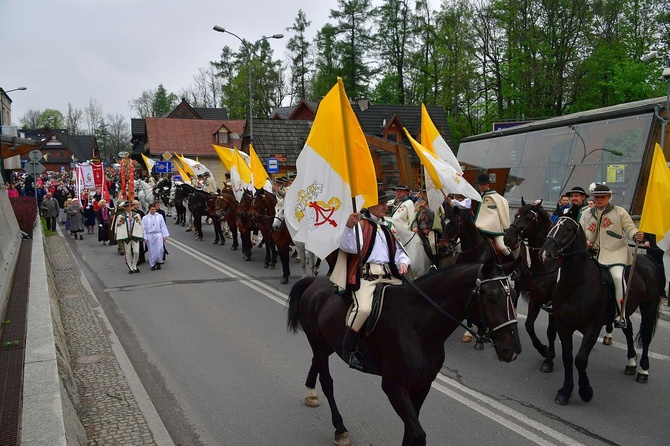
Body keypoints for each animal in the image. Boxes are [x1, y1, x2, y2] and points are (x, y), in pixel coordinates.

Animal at [286, 262, 524, 446]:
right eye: (491, 297)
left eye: (513, 295)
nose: (512, 350)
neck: (418, 325)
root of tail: (316, 282)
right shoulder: (394, 387)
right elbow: (417, 434)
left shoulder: (422, 385)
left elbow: (411, 432)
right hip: (317, 341)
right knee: (327, 381)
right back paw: (339, 428)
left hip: (327, 344)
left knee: (316, 362)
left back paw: (311, 393)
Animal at [504, 199, 560, 372]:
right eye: (516, 216)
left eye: (529, 219)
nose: (507, 239)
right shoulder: (535, 298)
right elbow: (529, 325)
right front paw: (544, 350)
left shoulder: (552, 306)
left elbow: (551, 332)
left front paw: (549, 359)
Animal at [540, 208, 664, 404]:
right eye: (552, 226)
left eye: (567, 230)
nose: (545, 254)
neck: (576, 284)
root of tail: (647, 260)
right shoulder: (563, 324)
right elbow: (568, 357)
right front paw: (565, 391)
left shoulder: (593, 327)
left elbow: (580, 359)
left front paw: (586, 391)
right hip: (624, 312)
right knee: (628, 330)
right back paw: (631, 363)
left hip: (648, 307)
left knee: (645, 336)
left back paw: (643, 371)